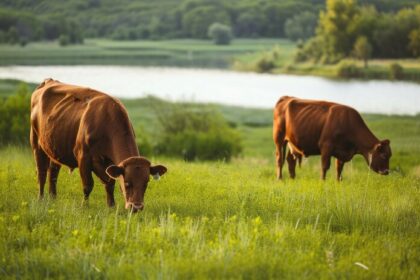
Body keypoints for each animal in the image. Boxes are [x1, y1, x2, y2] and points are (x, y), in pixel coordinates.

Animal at [30, 77, 167, 211]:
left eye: (146, 183)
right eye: (127, 183)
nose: (136, 207)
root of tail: (49, 81)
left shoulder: (110, 164)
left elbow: (110, 184)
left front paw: (111, 206)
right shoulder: (83, 157)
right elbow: (88, 185)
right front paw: (85, 206)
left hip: (54, 148)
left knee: (53, 173)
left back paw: (53, 199)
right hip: (36, 143)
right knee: (41, 172)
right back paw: (41, 199)